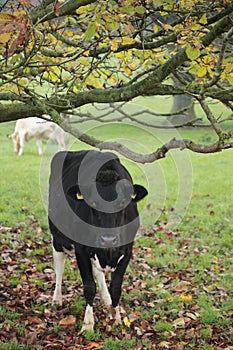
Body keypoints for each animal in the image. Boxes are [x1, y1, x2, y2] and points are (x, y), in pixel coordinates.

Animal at [48, 150, 147, 330]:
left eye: (122, 202)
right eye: (92, 203)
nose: (108, 239)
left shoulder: (128, 249)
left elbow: (116, 286)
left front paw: (116, 317)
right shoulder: (81, 249)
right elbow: (89, 286)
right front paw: (88, 324)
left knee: (98, 273)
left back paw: (106, 298)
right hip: (57, 238)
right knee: (59, 268)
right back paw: (57, 299)